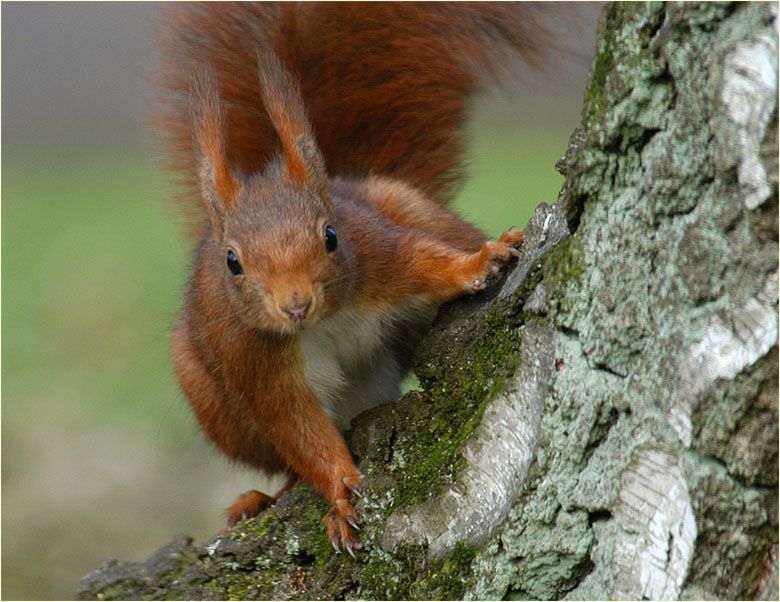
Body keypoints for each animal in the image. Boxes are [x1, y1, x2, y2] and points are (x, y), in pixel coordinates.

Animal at [155, 2, 557, 554]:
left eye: (330, 236)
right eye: (232, 261)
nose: (296, 305)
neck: (324, 322)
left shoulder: (376, 254)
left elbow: (424, 260)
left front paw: (474, 264)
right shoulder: (253, 361)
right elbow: (299, 432)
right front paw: (341, 493)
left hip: (402, 203)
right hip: (205, 390)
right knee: (284, 462)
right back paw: (262, 499)